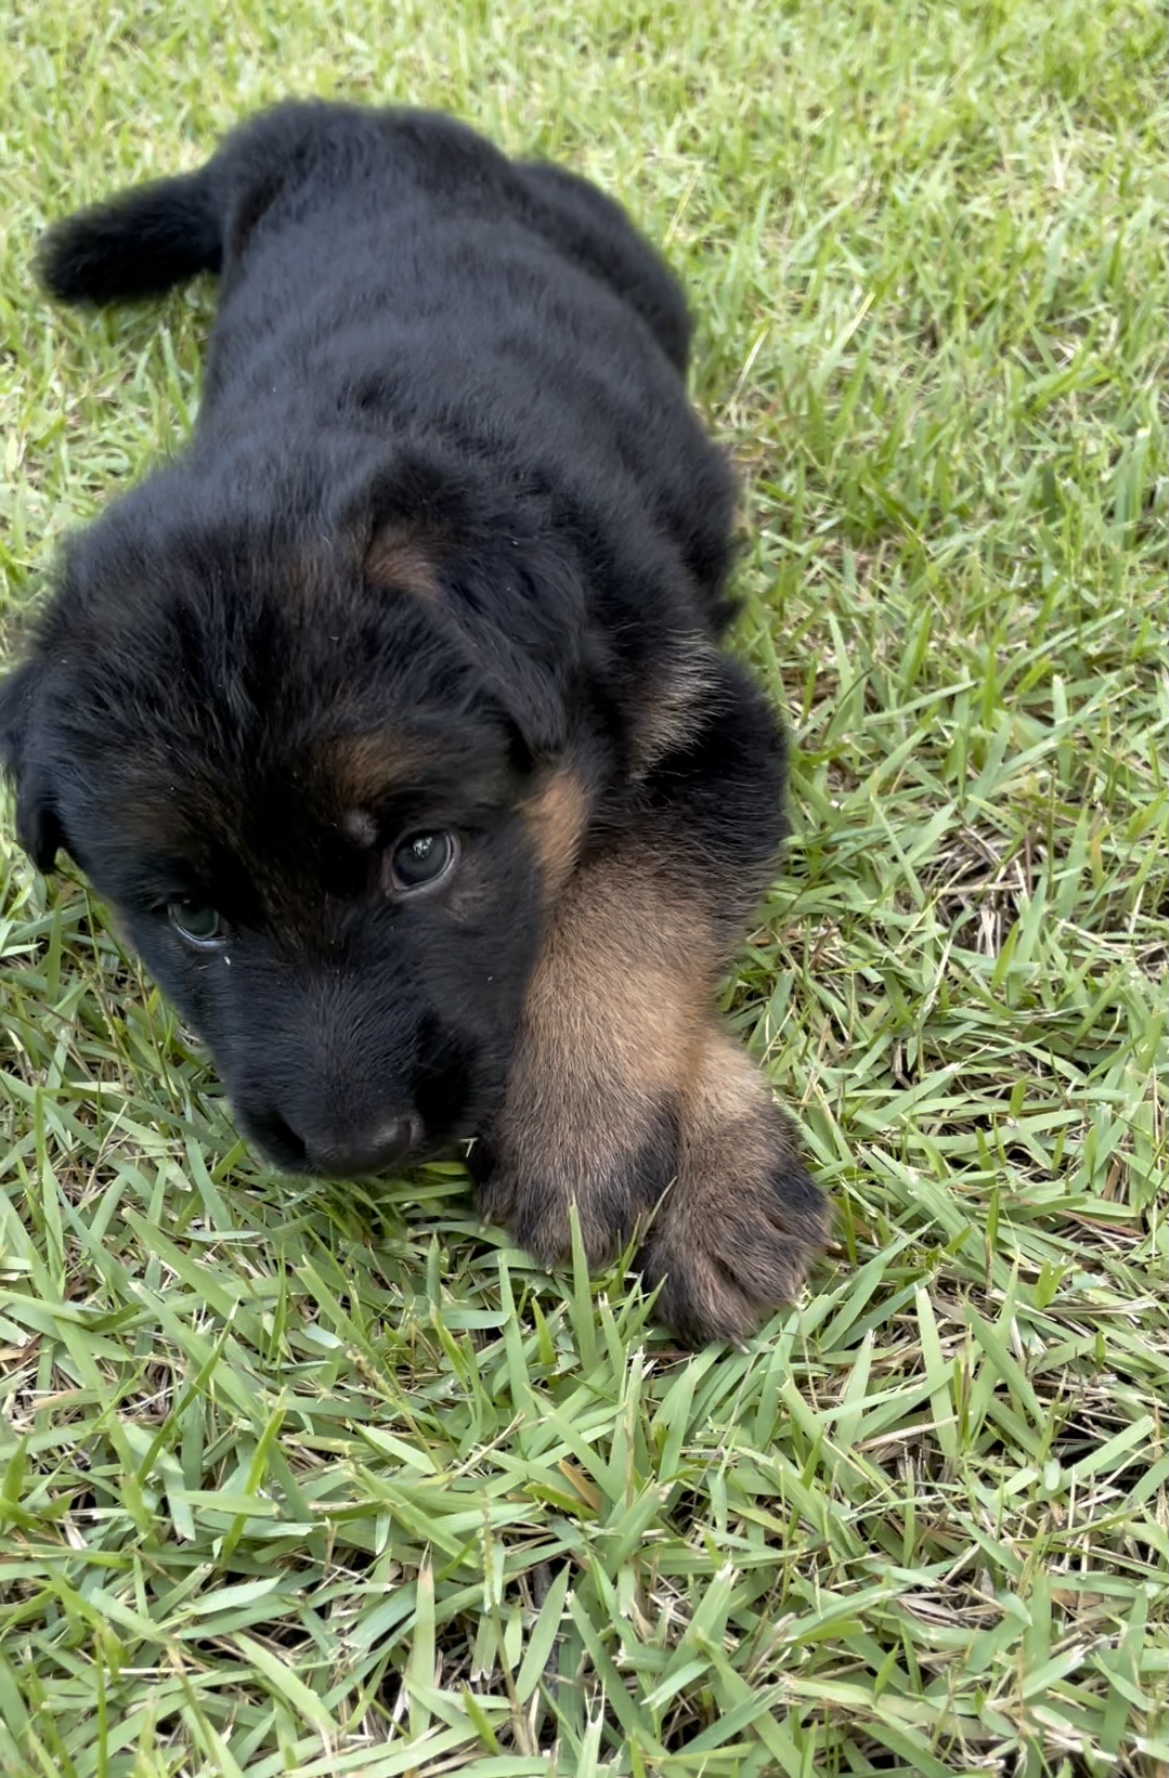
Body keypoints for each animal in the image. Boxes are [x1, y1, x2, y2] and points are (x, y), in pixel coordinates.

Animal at [0, 101, 828, 1345]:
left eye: (421, 856)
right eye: (191, 918)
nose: (359, 1148)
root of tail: (328, 118)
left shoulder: (707, 721)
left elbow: (623, 913)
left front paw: (589, 1135)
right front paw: (696, 1160)